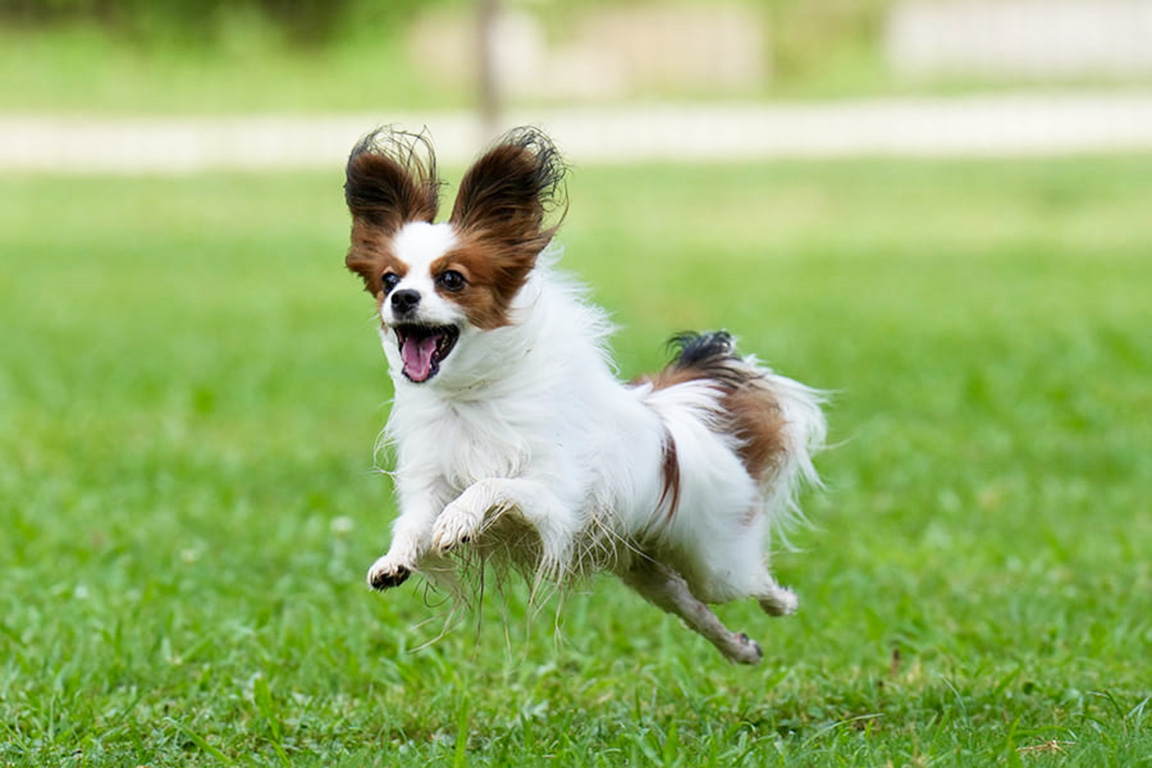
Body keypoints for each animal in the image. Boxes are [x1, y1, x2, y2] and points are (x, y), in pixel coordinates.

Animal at [340, 127, 829, 667]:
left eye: (451, 279)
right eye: (389, 279)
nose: (402, 299)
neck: (471, 395)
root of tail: (684, 421)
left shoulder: (555, 501)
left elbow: (492, 486)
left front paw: (462, 518)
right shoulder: (429, 485)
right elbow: (413, 524)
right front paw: (395, 559)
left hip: (716, 560)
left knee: (749, 581)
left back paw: (783, 603)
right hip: (650, 574)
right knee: (694, 608)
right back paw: (741, 648)